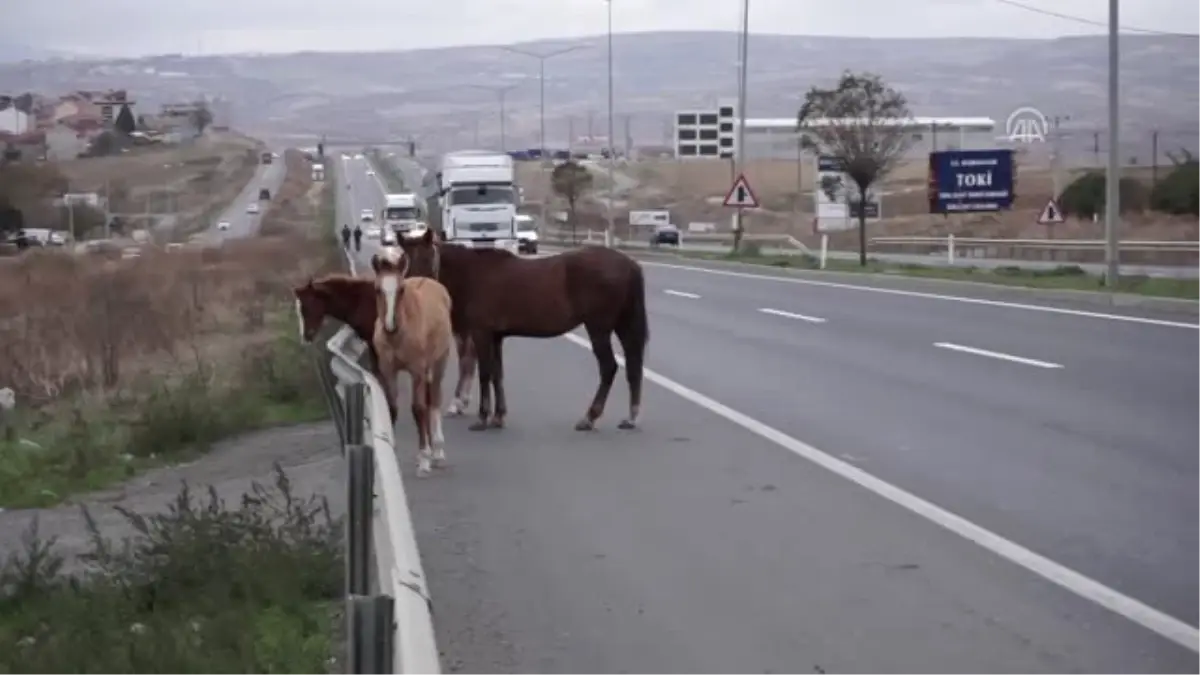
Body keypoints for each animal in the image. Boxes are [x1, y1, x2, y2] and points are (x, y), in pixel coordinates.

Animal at [369, 249, 453, 475]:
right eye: (377, 289)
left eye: (401, 290)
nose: (390, 326)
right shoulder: (388, 370)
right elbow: (392, 407)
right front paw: (392, 451)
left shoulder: (416, 370)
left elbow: (418, 409)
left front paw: (424, 458)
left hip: (438, 363)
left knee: (434, 400)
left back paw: (437, 452)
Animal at [396, 227, 648, 429]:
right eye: (406, 261)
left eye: (427, 258)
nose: (414, 292)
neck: (474, 275)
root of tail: (629, 264)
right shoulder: (496, 336)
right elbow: (497, 373)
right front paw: (498, 417)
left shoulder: (481, 333)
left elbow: (485, 373)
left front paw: (483, 417)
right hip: (622, 325)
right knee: (633, 364)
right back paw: (631, 417)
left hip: (599, 327)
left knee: (609, 367)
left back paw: (590, 417)